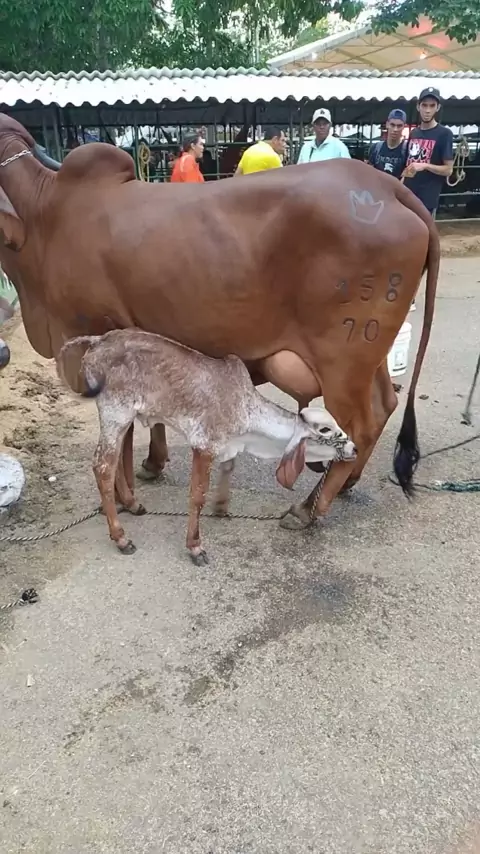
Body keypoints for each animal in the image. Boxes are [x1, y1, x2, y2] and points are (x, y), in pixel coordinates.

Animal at [0, 112, 439, 531]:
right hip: (368, 356)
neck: (44, 217)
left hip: (343, 359)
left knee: (361, 425)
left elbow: (122, 433)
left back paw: (308, 508)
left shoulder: (96, 335)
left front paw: (126, 496)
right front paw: (150, 466)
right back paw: (345, 483)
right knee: (384, 405)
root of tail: (388, 188)